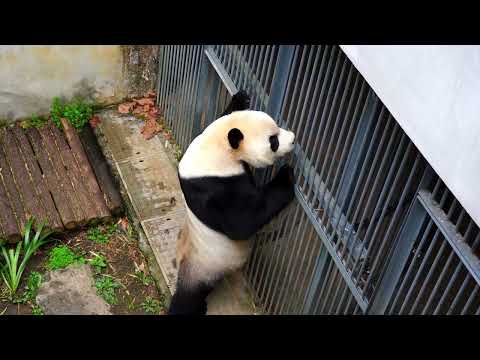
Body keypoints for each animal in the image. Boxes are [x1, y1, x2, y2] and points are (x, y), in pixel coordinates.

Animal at [169, 90, 296, 316]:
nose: (292, 139)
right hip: (202, 266)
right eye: (273, 141)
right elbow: (242, 222)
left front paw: (240, 98)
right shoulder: (213, 186)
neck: (217, 148)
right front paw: (286, 175)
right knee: (187, 297)